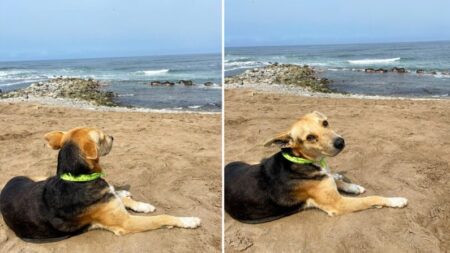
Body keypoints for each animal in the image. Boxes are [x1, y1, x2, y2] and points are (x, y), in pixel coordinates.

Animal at [0, 127, 200, 240]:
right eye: (102, 138)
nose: (113, 136)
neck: (77, 178)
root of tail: (7, 184)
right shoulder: (126, 223)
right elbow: (162, 218)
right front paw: (189, 220)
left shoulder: (108, 198)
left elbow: (121, 197)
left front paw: (143, 205)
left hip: (40, 178)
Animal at [225, 111, 408, 222]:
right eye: (310, 138)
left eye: (325, 123)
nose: (340, 142)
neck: (302, 160)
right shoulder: (338, 204)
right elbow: (372, 198)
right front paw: (396, 200)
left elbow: (335, 180)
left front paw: (352, 186)